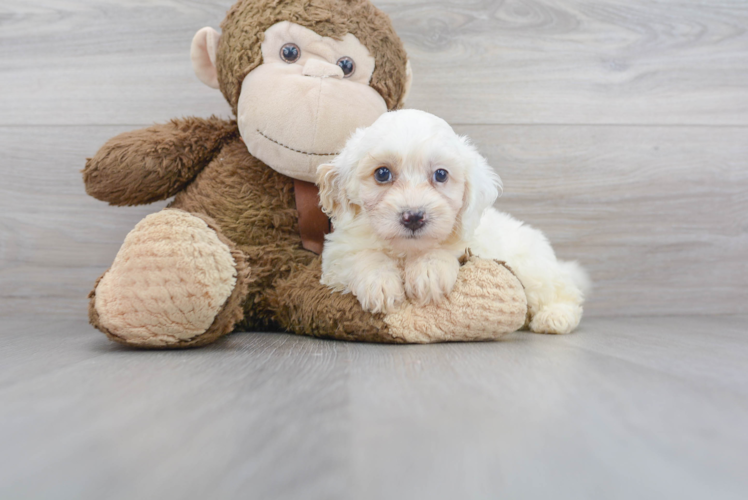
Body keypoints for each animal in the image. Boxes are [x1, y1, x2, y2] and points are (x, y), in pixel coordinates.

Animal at [316, 110, 592, 336]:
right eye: (382, 174)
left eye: (441, 174)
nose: (413, 216)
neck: (407, 250)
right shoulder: (336, 256)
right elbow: (362, 256)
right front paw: (380, 283)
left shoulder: (471, 243)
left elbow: (445, 250)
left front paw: (429, 270)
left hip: (533, 270)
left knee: (562, 291)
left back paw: (555, 317)